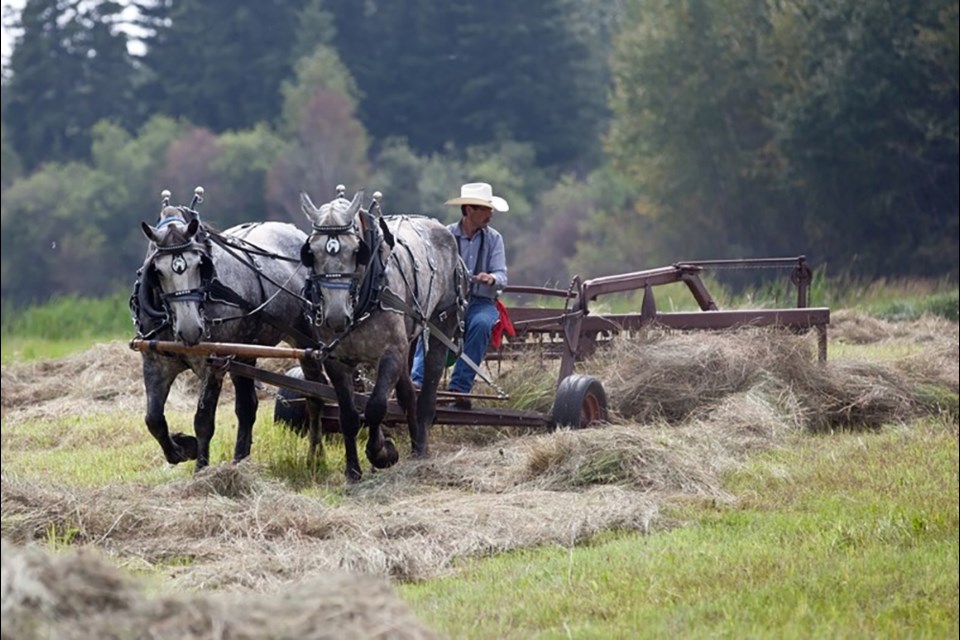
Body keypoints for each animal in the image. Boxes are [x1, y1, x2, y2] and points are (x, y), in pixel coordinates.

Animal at [134, 195, 322, 470]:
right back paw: (240, 460)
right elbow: (153, 420)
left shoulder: (212, 364)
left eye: (200, 265)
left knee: (315, 392)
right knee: (247, 407)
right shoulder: (155, 362)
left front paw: (201, 469)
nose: (191, 330)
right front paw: (182, 448)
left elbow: (203, 421)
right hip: (244, 353)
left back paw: (314, 455)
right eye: (157, 270)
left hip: (305, 338)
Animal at [300, 192, 464, 482]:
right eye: (312, 252)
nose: (336, 317)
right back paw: (413, 443)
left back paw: (421, 446)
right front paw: (353, 471)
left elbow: (376, 406)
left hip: (443, 320)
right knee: (408, 394)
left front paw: (382, 452)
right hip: (408, 339)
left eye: (356, 251)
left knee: (428, 389)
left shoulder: (389, 352)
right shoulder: (335, 360)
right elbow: (349, 416)